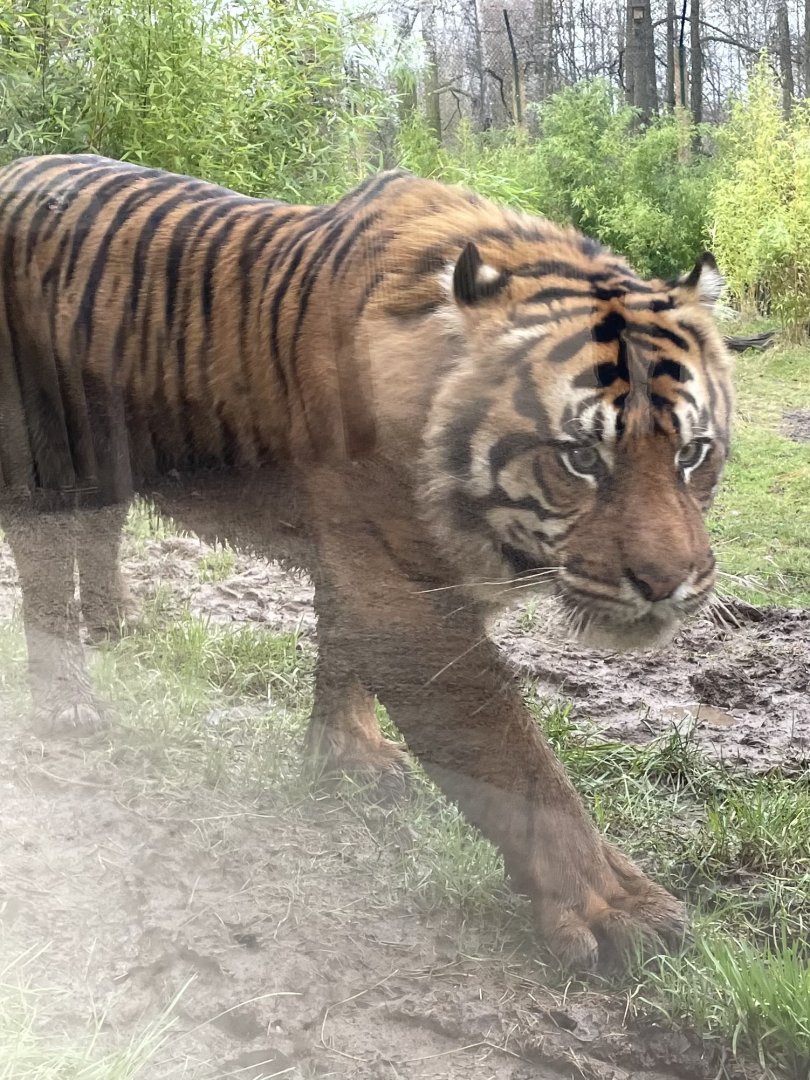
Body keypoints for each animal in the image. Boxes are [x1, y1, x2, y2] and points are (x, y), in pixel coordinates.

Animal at [0, 154, 734, 972]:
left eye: (693, 453)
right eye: (580, 458)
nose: (669, 585)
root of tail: (22, 164)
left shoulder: (359, 552)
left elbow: (342, 653)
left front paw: (345, 756)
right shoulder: (401, 585)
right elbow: (514, 757)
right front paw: (614, 907)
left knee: (99, 527)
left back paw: (115, 622)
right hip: (39, 449)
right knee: (43, 567)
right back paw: (68, 703)